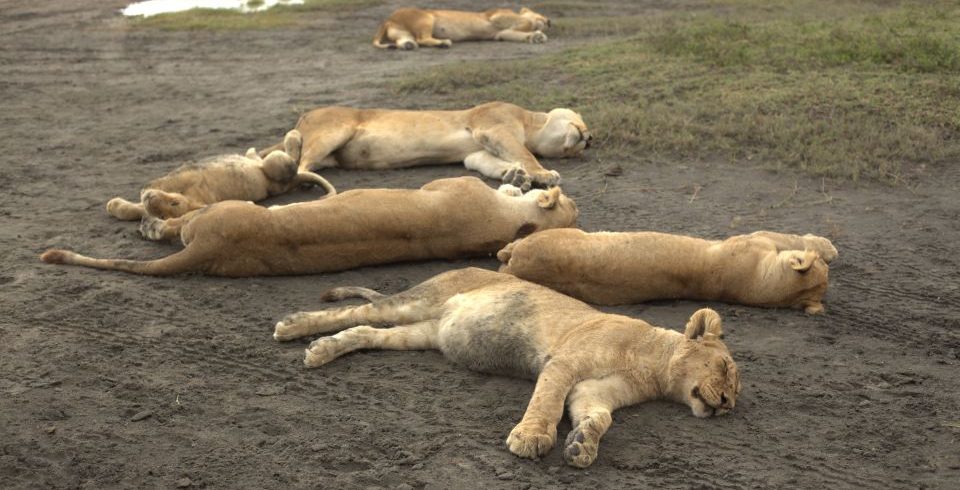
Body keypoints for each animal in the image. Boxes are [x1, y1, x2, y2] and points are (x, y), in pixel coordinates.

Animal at [105, 130, 336, 223]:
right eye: (160, 217)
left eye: (173, 206)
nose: (149, 198)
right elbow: (133, 210)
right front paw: (114, 204)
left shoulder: (190, 182)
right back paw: (252, 151)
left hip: (276, 166)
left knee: (291, 161)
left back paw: (293, 135)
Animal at [257, 102, 592, 190]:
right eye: (582, 122)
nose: (589, 140)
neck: (530, 123)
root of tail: (304, 116)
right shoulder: (493, 124)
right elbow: (524, 153)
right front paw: (544, 174)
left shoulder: (477, 152)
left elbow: (493, 163)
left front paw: (516, 176)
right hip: (333, 130)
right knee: (298, 162)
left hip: (330, 153)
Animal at [272, 267, 741, 468]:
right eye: (723, 368)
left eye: (735, 389)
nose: (727, 405)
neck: (653, 370)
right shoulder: (564, 362)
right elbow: (546, 402)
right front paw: (531, 439)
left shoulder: (595, 390)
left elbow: (599, 417)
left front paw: (582, 444)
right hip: (416, 302)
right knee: (359, 310)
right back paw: (295, 327)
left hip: (422, 331)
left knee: (367, 329)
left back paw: (324, 349)